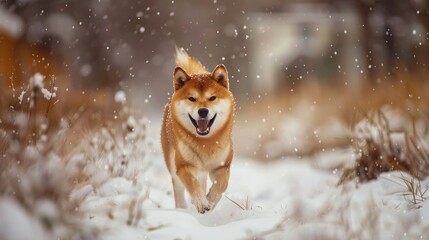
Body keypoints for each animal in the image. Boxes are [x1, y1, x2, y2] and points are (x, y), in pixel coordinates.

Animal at [160, 47, 234, 213]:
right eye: (191, 98)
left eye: (212, 98)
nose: (203, 111)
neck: (205, 142)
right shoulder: (184, 166)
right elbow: (192, 184)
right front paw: (201, 203)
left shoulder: (222, 166)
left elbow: (221, 185)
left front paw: (210, 200)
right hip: (172, 162)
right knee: (179, 187)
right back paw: (182, 208)